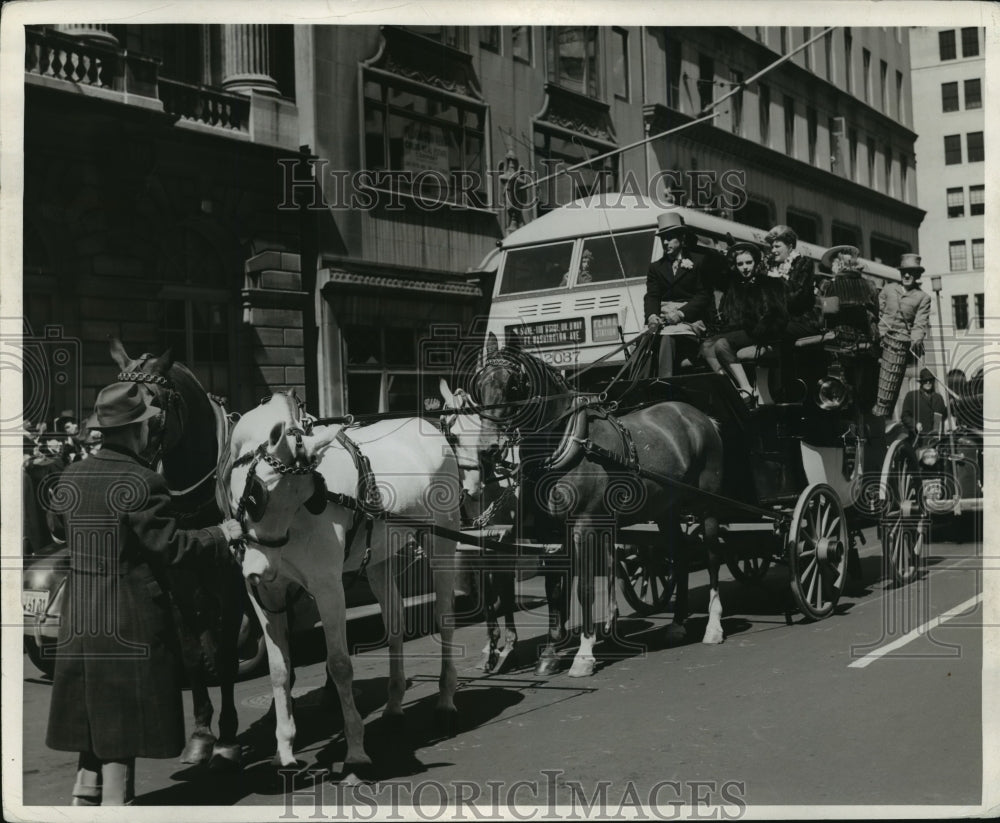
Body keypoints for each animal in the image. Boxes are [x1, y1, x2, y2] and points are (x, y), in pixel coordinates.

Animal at [109, 338, 244, 768]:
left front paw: (227, 737)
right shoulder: (178, 579)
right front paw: (201, 735)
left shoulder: (231, 582)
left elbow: (225, 654)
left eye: (151, 406)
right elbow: (192, 653)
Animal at [219, 396, 460, 768]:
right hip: (380, 558)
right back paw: (394, 706)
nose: (260, 568)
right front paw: (284, 750)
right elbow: (279, 669)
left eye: (309, 496)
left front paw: (356, 748)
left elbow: (340, 665)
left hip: (442, 540)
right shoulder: (265, 593)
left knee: (445, 619)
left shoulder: (327, 586)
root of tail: (431, 427)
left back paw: (446, 702)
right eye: (257, 495)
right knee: (394, 624)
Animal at [468, 334, 728, 676]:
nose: (487, 450)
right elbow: (555, 591)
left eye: (513, 385)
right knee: (681, 555)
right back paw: (678, 623)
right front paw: (550, 654)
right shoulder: (549, 532)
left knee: (711, 555)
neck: (567, 445)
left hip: (707, 504)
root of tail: (699, 416)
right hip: (666, 510)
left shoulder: (586, 526)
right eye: (479, 386)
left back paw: (713, 626)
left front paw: (584, 654)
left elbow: (584, 589)